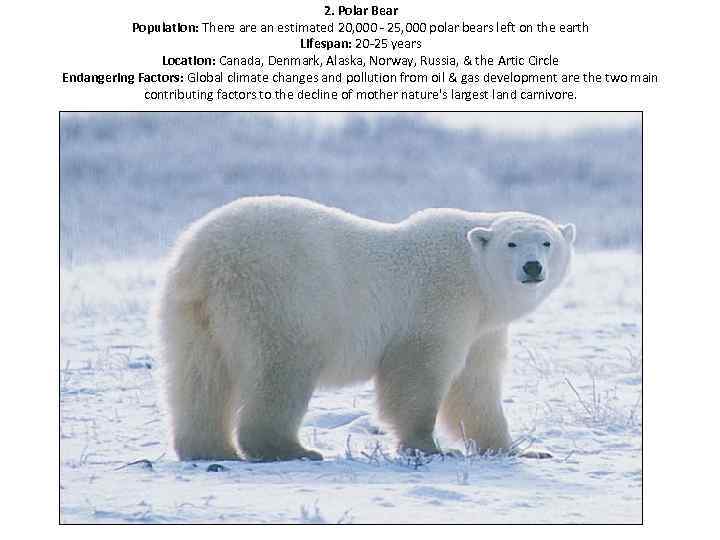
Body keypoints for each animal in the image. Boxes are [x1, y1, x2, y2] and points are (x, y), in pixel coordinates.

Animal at [155, 196, 575, 462]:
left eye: (546, 242)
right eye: (512, 243)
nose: (532, 267)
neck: (474, 273)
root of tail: (208, 259)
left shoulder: (482, 329)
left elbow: (476, 387)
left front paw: (521, 449)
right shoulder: (440, 302)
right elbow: (418, 373)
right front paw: (430, 446)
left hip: (190, 312)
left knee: (199, 377)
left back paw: (209, 448)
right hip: (279, 297)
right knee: (281, 369)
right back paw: (291, 449)